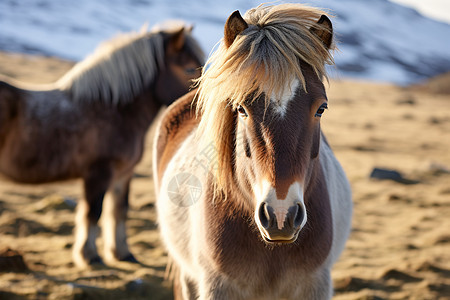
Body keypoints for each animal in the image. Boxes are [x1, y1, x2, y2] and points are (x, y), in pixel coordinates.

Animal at [0, 22, 204, 268]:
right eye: (189, 69)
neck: (112, 109)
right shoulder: (98, 174)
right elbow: (93, 212)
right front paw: (89, 256)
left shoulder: (122, 174)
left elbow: (118, 210)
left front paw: (122, 253)